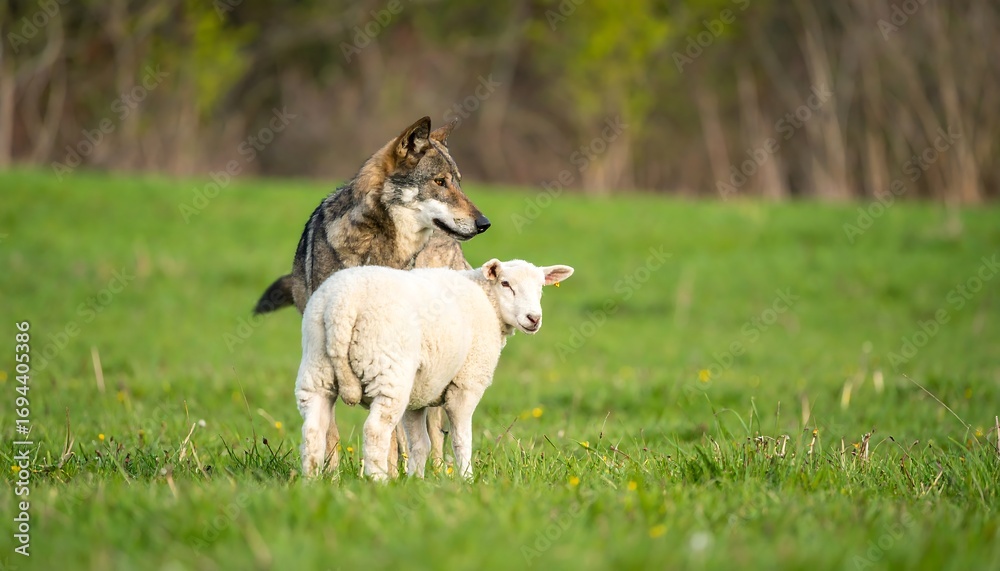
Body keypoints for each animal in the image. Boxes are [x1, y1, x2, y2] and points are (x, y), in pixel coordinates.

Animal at [255, 116, 487, 475]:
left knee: (433, 431)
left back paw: (433, 473)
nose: (484, 223)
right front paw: (333, 477)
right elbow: (332, 433)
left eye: (458, 183)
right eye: (440, 182)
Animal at [295, 258, 574, 480]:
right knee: (375, 431)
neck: (487, 300)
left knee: (312, 430)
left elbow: (420, 444)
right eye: (506, 284)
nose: (533, 318)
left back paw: (312, 483)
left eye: (541, 288)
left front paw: (415, 481)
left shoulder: (417, 394)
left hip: (317, 368)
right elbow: (462, 439)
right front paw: (466, 479)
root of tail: (342, 307)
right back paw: (378, 482)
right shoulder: (466, 383)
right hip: (388, 370)